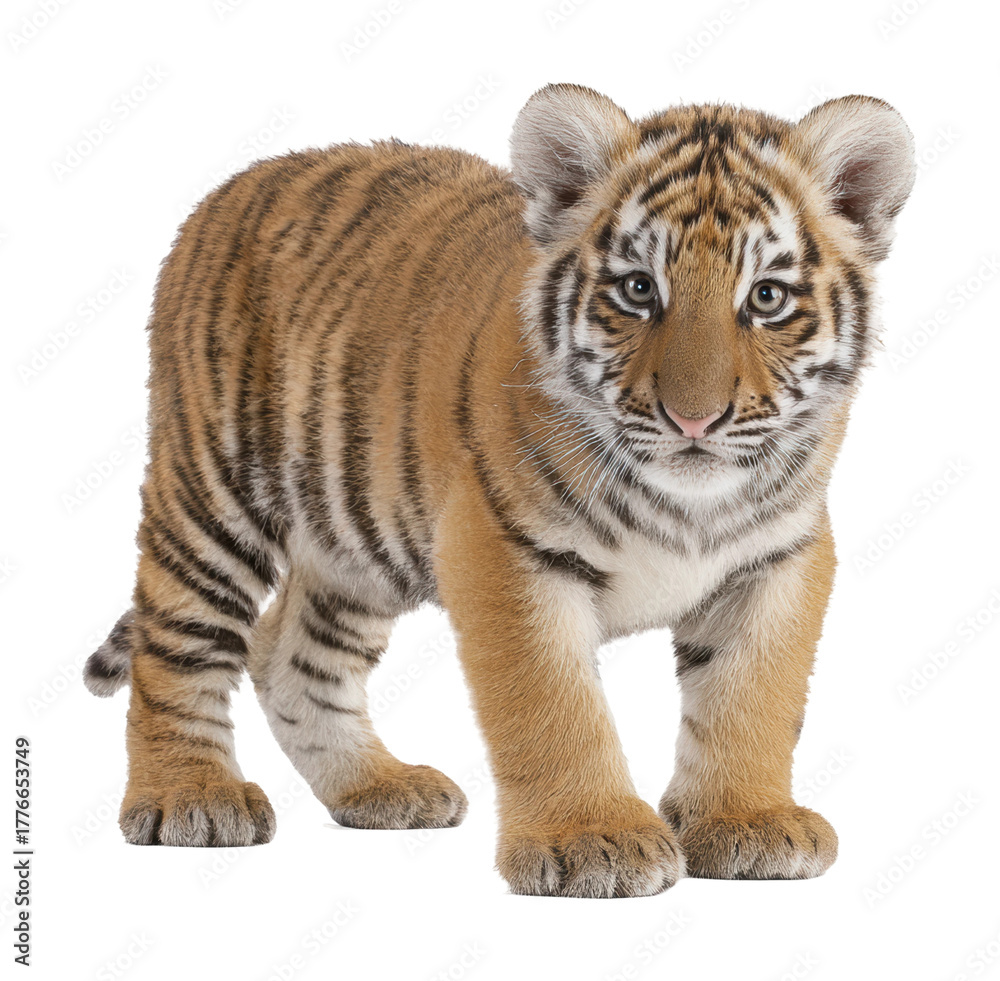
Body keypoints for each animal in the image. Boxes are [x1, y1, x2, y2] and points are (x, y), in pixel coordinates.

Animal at [83, 83, 914, 898]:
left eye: (768, 297)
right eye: (638, 289)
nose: (694, 418)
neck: (690, 508)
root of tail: (237, 183)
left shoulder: (780, 561)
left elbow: (751, 698)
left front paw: (747, 821)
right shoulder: (507, 549)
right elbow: (553, 706)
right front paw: (592, 839)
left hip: (358, 543)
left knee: (287, 656)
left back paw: (378, 787)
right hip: (212, 491)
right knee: (177, 644)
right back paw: (190, 794)